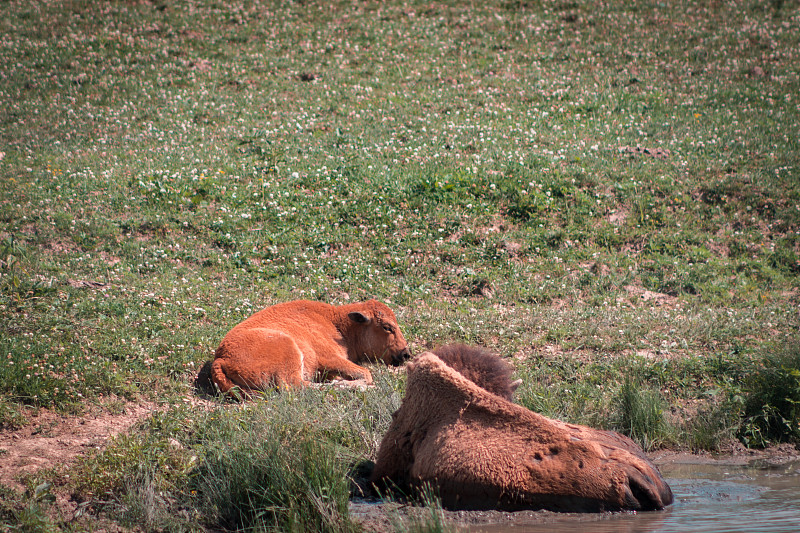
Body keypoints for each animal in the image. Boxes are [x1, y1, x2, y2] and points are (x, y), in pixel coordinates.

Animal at [209, 300, 410, 390]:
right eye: (387, 327)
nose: (406, 353)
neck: (338, 324)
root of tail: (221, 357)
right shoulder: (330, 358)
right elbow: (367, 374)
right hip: (289, 348)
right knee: (296, 386)